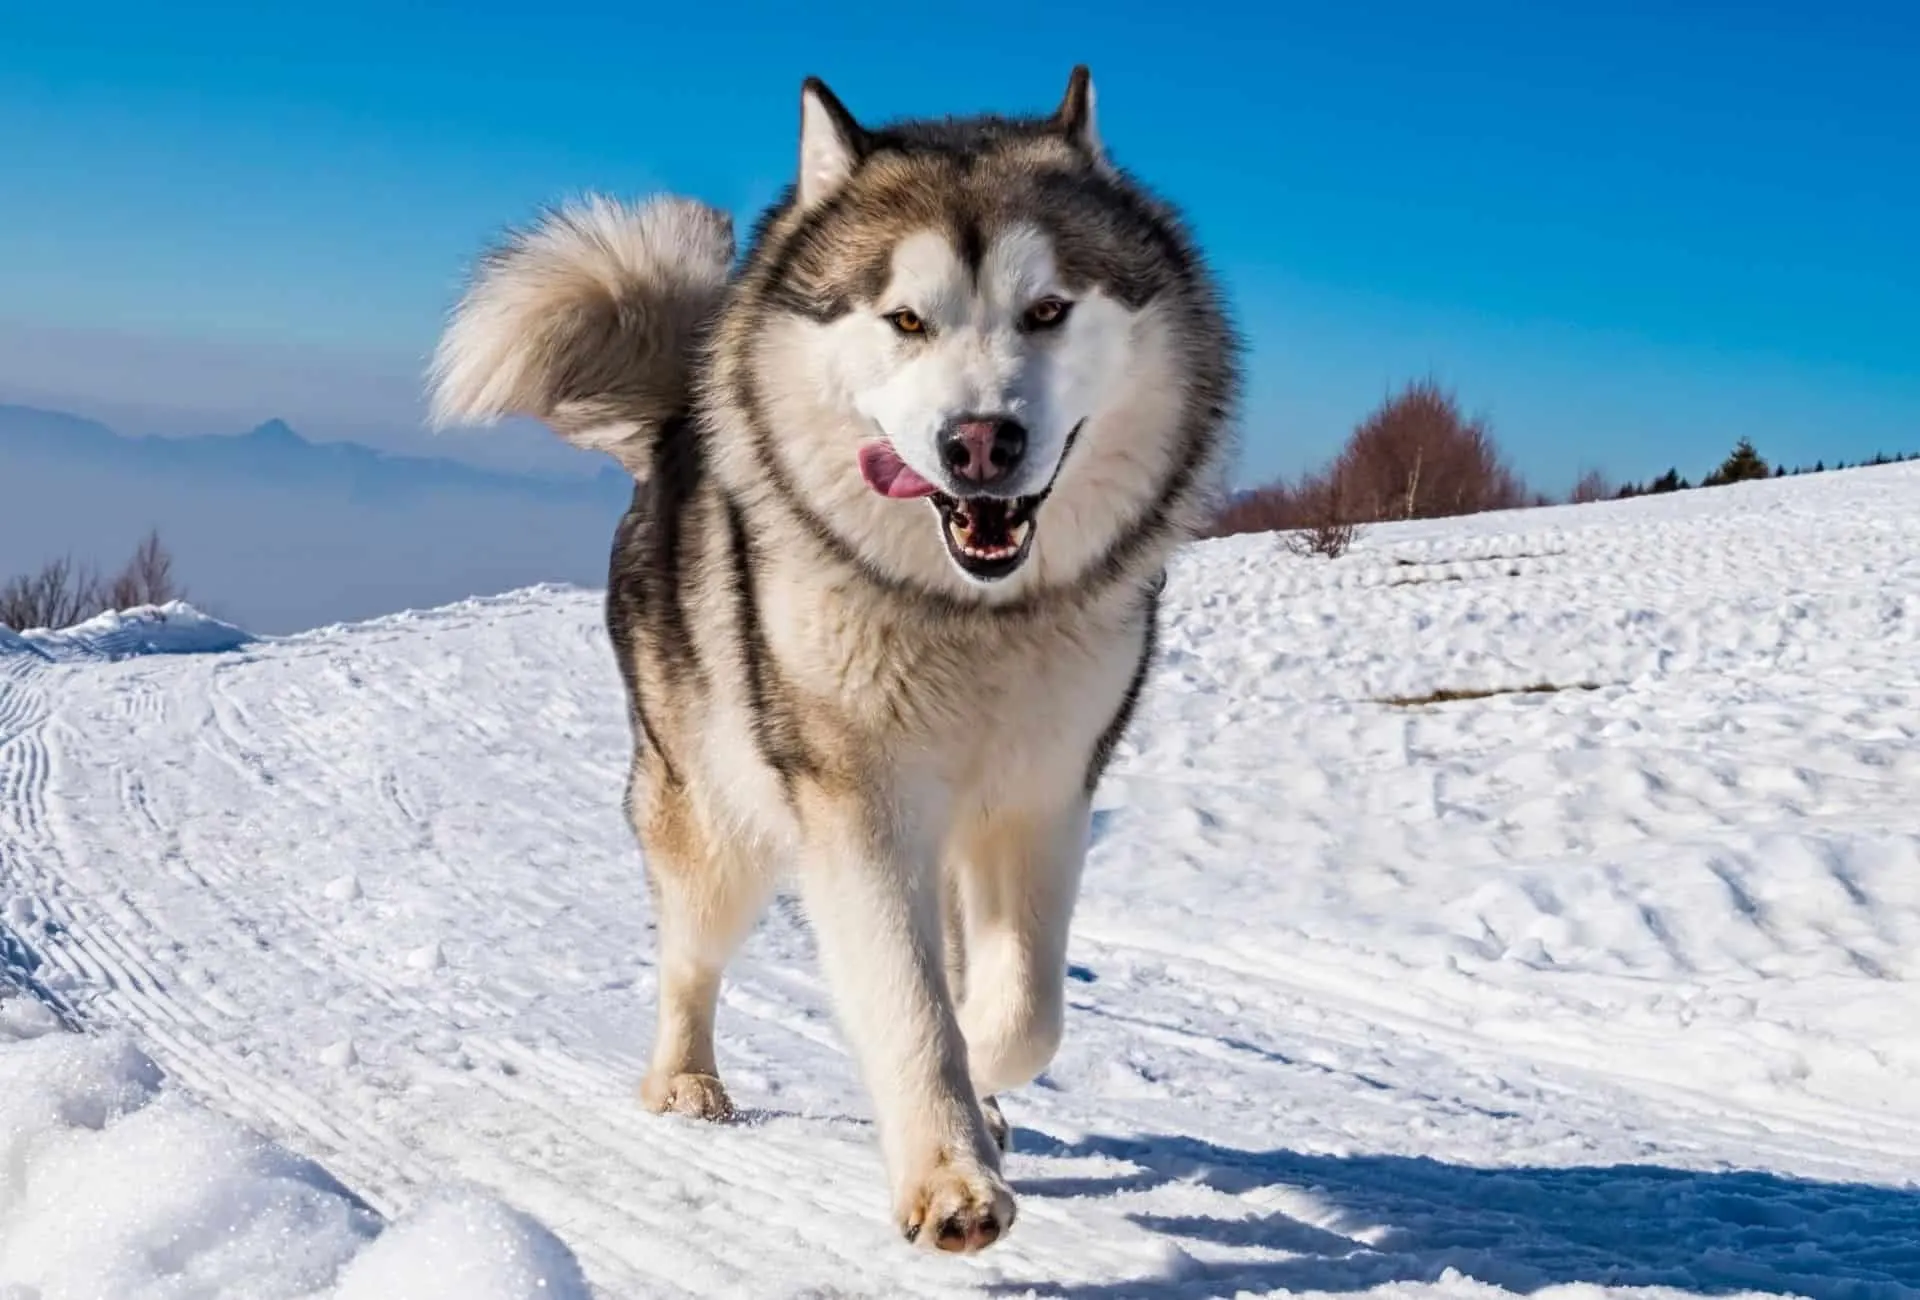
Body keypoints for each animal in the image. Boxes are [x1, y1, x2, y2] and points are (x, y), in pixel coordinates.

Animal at [428, 68, 1236, 1244]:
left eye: (1049, 310)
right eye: (905, 319)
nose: (979, 442)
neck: (966, 616)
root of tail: (674, 425)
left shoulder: (1045, 795)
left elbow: (1023, 1008)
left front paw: (983, 1082)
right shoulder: (857, 797)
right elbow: (908, 997)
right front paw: (950, 1172)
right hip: (712, 813)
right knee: (689, 954)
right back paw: (685, 1082)